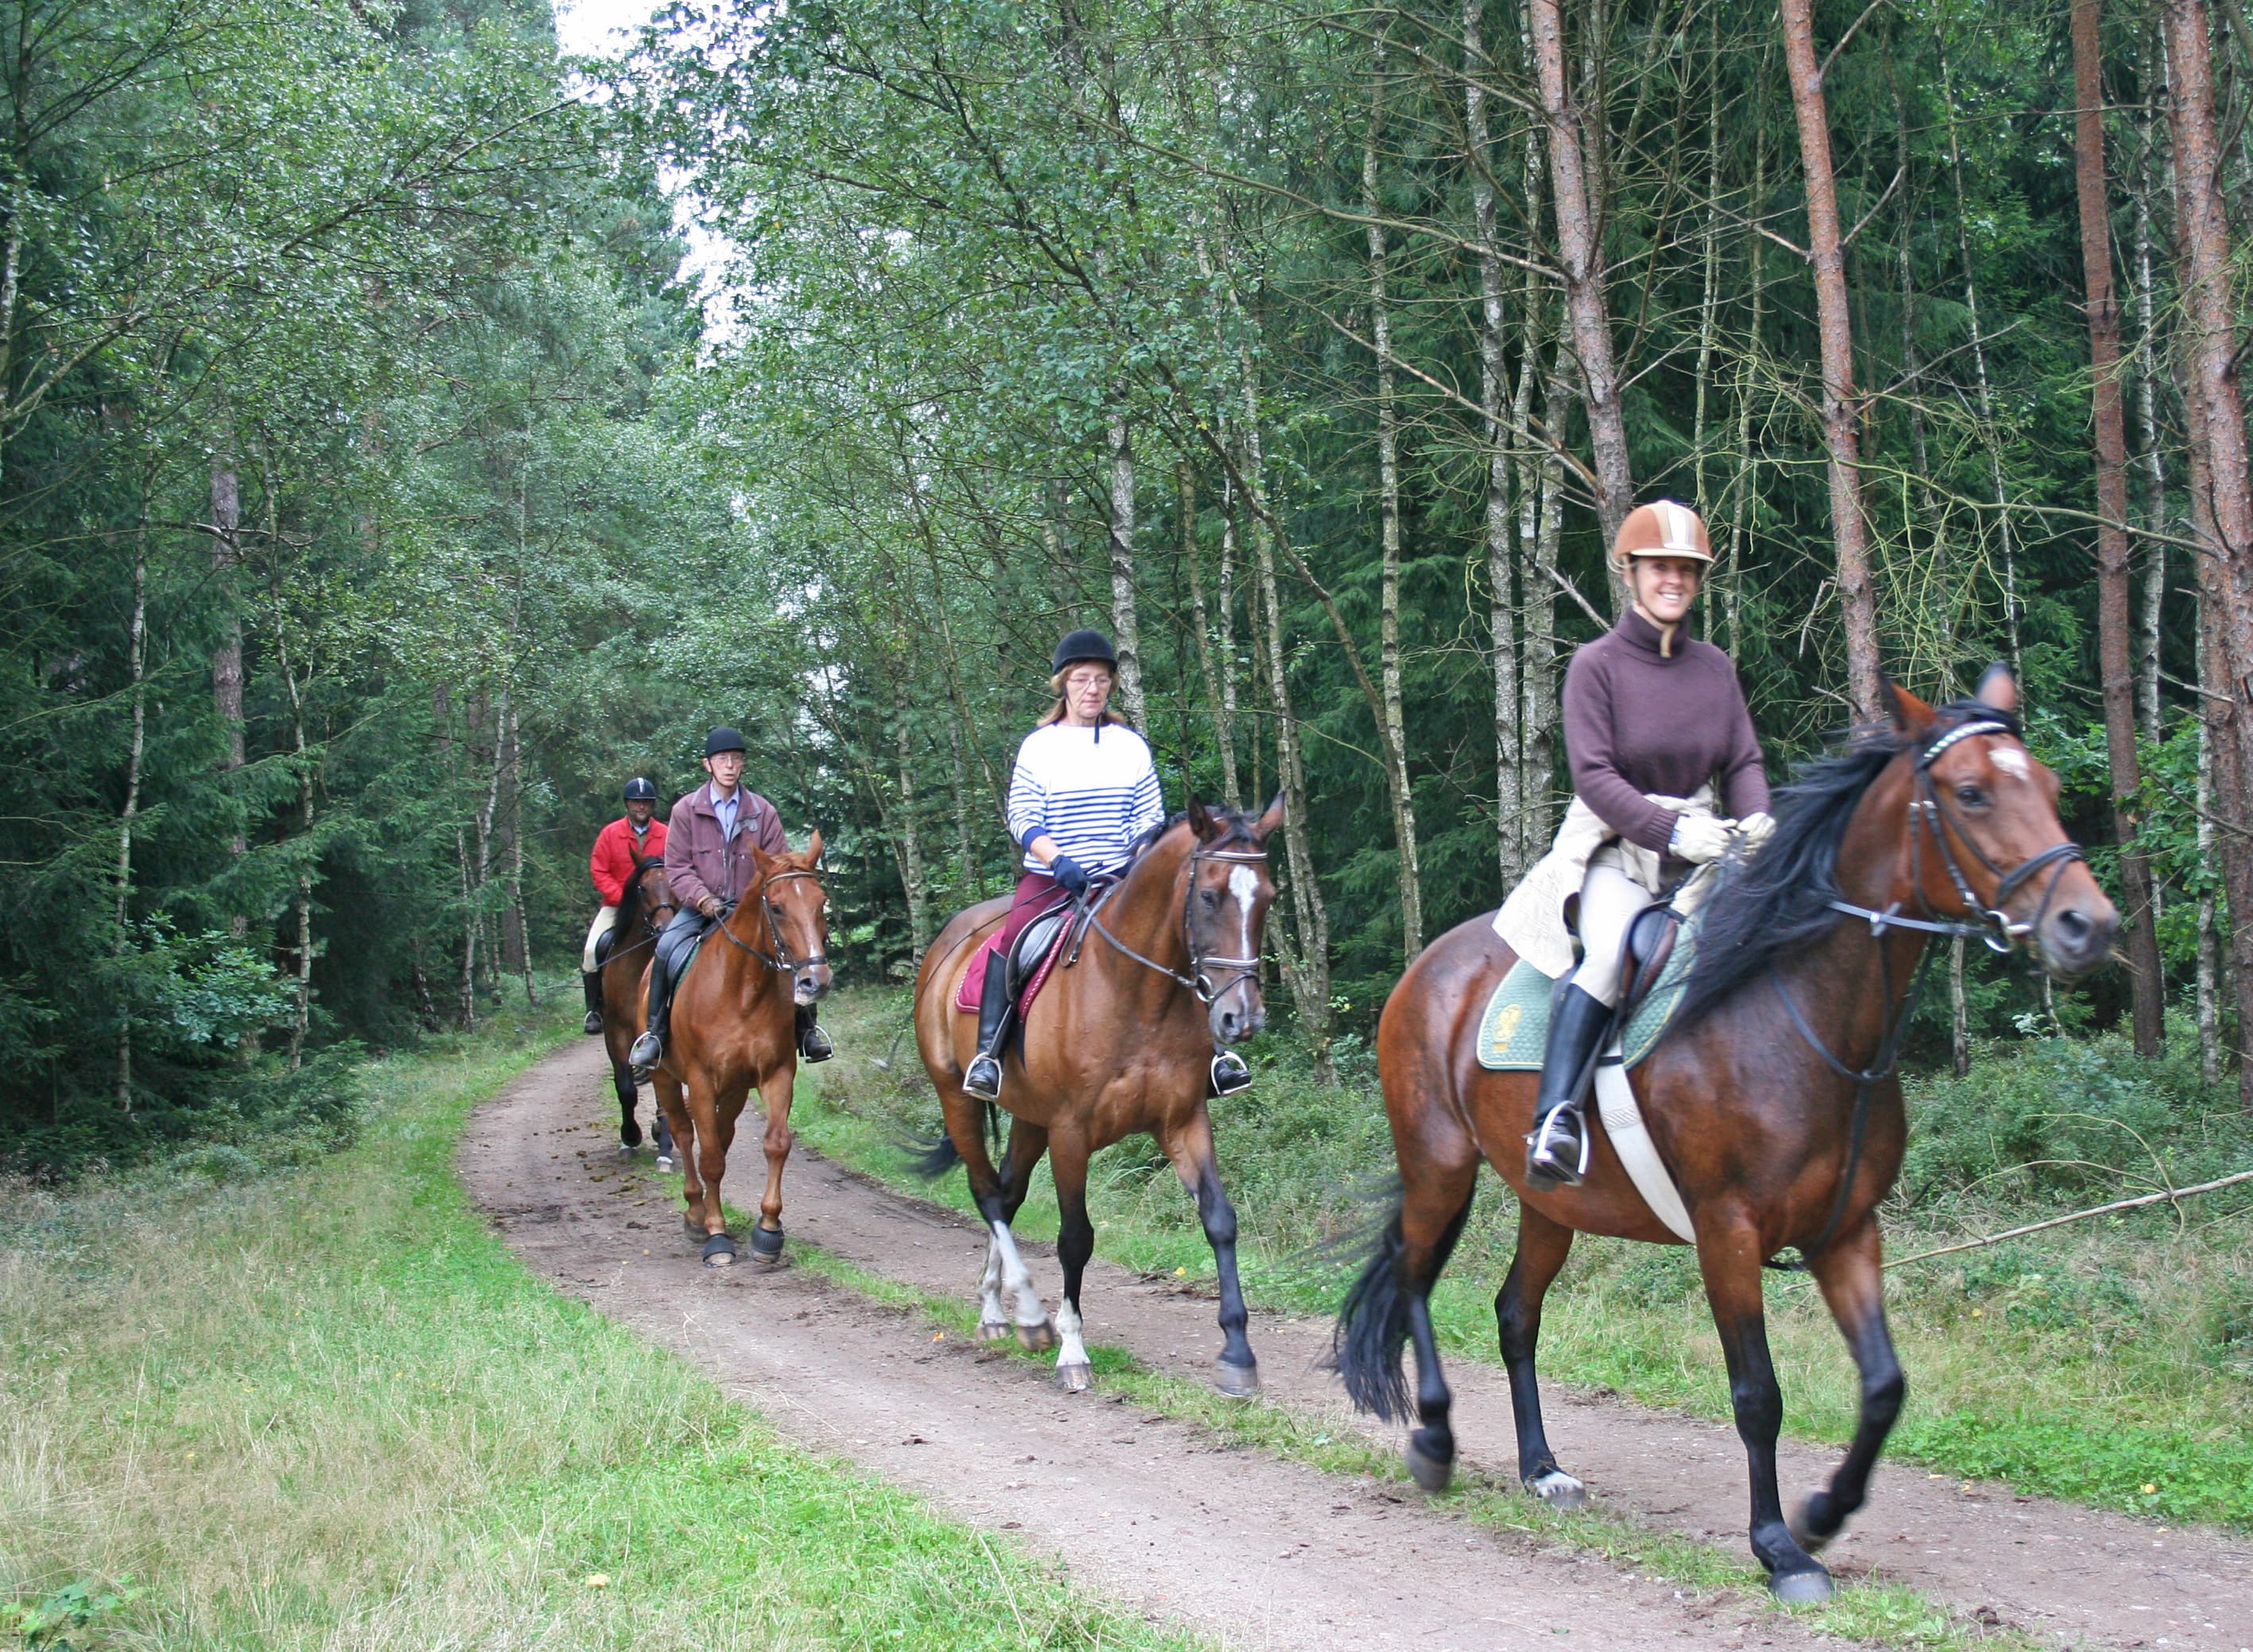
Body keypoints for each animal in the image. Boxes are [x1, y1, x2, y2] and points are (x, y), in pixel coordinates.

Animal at [594, 856, 671, 1163]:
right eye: (642, 887)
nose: (664, 929)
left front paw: (662, 1136)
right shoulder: (615, 1031)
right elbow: (626, 1088)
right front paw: (630, 1137)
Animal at [648, 829, 833, 1271]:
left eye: (821, 903)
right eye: (777, 907)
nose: (815, 981)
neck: (742, 992)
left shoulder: (777, 1074)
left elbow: (776, 1143)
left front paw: (768, 1231)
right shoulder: (700, 1081)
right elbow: (710, 1157)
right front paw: (717, 1236)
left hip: (733, 1089)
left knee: (723, 1132)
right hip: (665, 1077)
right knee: (685, 1135)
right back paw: (696, 1215)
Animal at [906, 797, 1279, 1388]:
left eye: (1268, 897)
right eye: (1208, 895)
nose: (1240, 1018)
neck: (1137, 993)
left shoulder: (1183, 1120)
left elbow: (1220, 1221)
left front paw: (1238, 1356)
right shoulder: (1071, 1132)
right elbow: (1075, 1238)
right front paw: (1072, 1350)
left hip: (1029, 1118)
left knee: (1007, 1195)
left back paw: (995, 1312)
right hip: (958, 1096)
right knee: (986, 1192)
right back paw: (1029, 1315)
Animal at [1343, 671, 2117, 1596]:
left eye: (2052, 789)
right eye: (1971, 793)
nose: (2088, 926)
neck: (1799, 1014)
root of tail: (1428, 968)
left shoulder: (1847, 1232)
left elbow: (1884, 1385)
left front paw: (1823, 1514)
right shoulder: (1727, 1232)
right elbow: (1757, 1394)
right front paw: (1779, 1547)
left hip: (1549, 1204)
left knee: (1514, 1314)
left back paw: (1541, 1468)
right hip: (1440, 1168)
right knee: (1414, 1281)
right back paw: (1433, 1439)